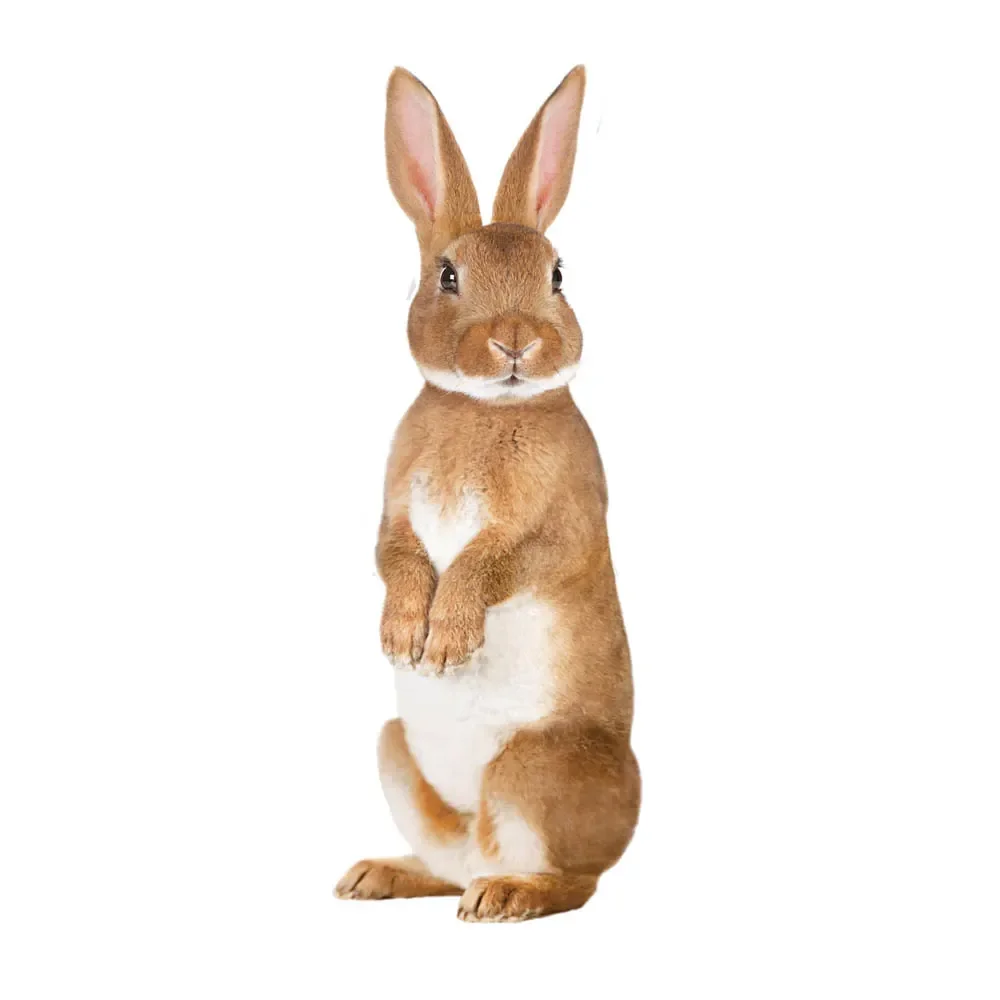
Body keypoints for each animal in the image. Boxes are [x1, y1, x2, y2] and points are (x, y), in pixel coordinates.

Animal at [335, 66, 640, 922]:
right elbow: (395, 556)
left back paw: (505, 896)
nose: (515, 341)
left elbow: (494, 562)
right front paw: (404, 636)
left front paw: (444, 642)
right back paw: (377, 876)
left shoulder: (559, 521)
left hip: (530, 769)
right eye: (448, 275)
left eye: (558, 275)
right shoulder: (394, 511)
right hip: (395, 751)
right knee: (447, 863)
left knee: (570, 881)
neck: (483, 407)